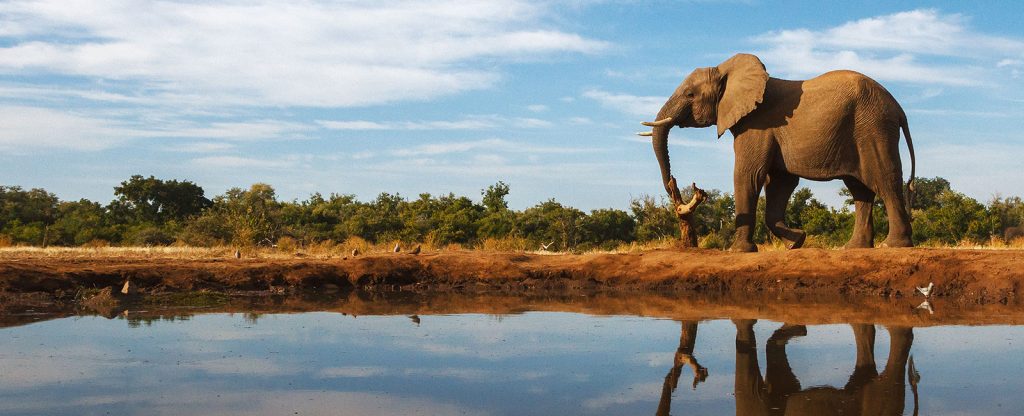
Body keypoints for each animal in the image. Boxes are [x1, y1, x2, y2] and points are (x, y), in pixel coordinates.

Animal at [639, 53, 917, 251]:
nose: (674, 186)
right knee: (860, 189)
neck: (726, 70)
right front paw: (796, 242)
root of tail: (898, 108)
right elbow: (780, 182)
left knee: (884, 180)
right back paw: (853, 248)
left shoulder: (757, 125)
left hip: (872, 128)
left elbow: (748, 175)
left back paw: (892, 246)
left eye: (690, 94)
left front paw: (738, 251)